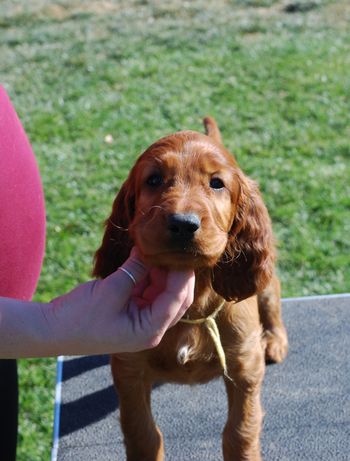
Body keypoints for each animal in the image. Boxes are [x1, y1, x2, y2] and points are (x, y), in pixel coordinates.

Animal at [93, 117, 288, 458]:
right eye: (154, 180)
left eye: (217, 183)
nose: (183, 223)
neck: (195, 303)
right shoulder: (130, 370)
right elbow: (143, 433)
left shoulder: (245, 368)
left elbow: (240, 431)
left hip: (264, 292)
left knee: (271, 295)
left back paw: (275, 339)